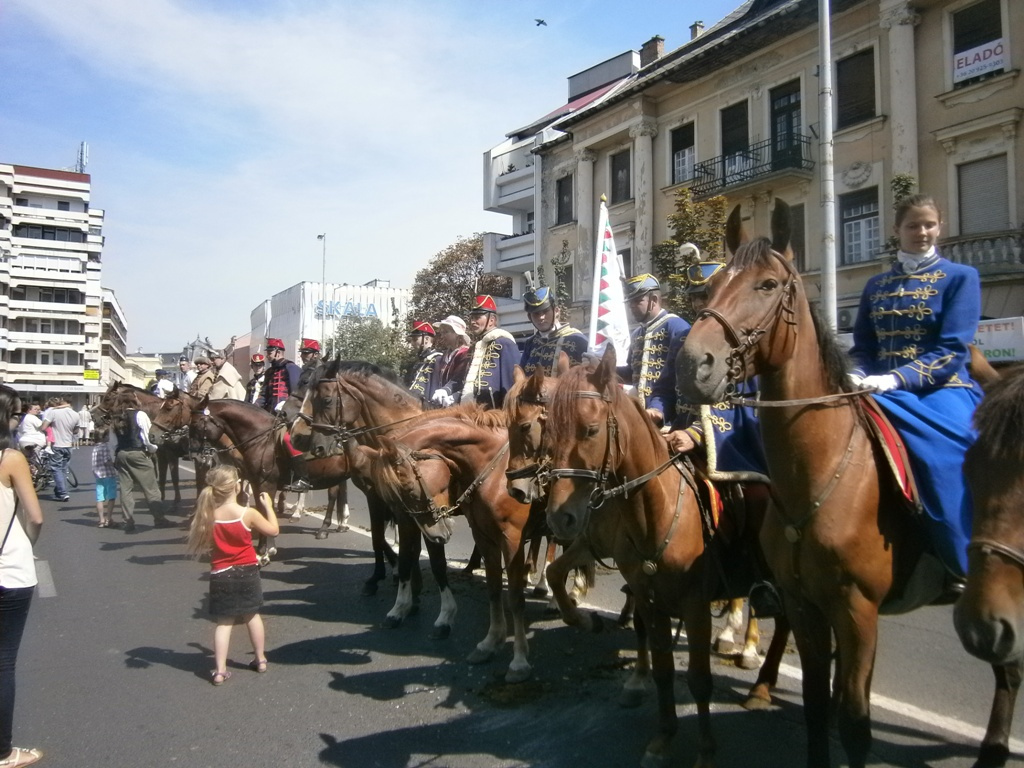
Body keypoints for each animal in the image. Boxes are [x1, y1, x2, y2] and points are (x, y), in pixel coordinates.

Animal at [675, 199, 1019, 768]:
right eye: (714, 284)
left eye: (768, 285)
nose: (690, 364)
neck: (821, 471)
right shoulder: (804, 604)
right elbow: (817, 707)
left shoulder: (858, 613)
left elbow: (856, 724)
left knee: (1008, 667)